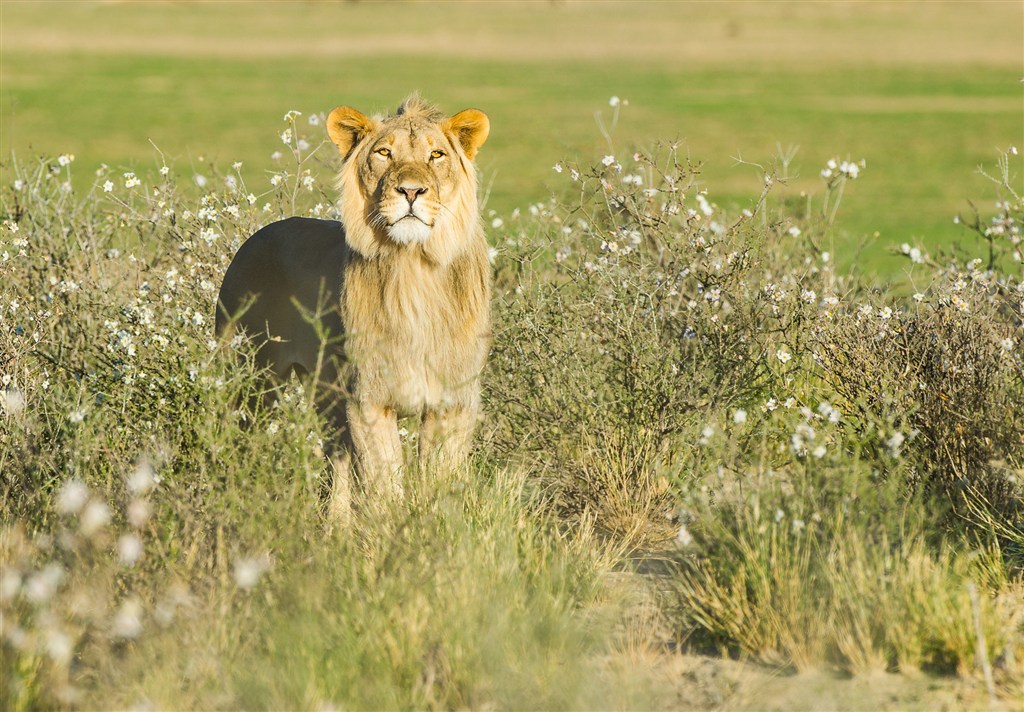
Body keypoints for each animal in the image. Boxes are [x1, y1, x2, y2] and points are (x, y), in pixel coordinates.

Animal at [216, 94, 491, 518]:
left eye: (436, 155)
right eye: (384, 153)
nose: (411, 191)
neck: (413, 267)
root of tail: (252, 240)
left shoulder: (453, 401)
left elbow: (438, 483)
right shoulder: (369, 400)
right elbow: (386, 485)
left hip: (325, 394)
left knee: (337, 462)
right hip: (253, 381)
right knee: (241, 443)